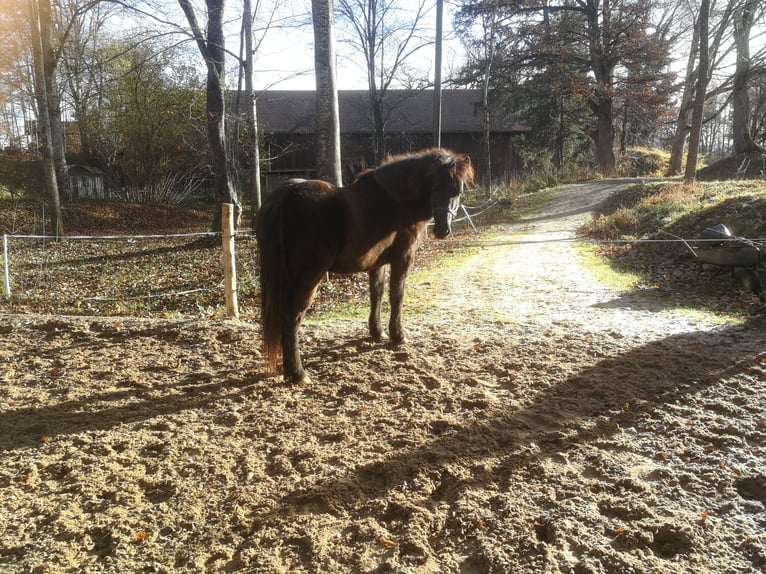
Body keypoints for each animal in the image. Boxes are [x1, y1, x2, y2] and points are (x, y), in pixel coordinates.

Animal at [255, 148, 474, 384]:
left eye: (458, 190)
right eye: (435, 187)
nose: (443, 230)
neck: (395, 202)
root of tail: (285, 196)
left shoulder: (377, 264)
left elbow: (376, 294)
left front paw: (378, 332)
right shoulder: (403, 258)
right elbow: (397, 294)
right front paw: (398, 335)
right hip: (308, 277)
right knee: (291, 318)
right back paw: (298, 374)